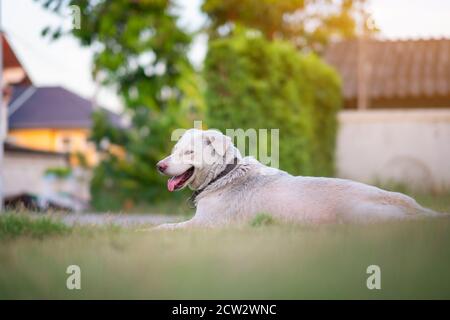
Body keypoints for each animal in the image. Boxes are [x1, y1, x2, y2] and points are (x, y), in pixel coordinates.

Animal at [156, 129, 442, 229]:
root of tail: (415, 208)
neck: (223, 176)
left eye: (188, 152)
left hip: (360, 215)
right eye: (174, 150)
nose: (159, 166)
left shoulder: (206, 225)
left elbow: (163, 228)